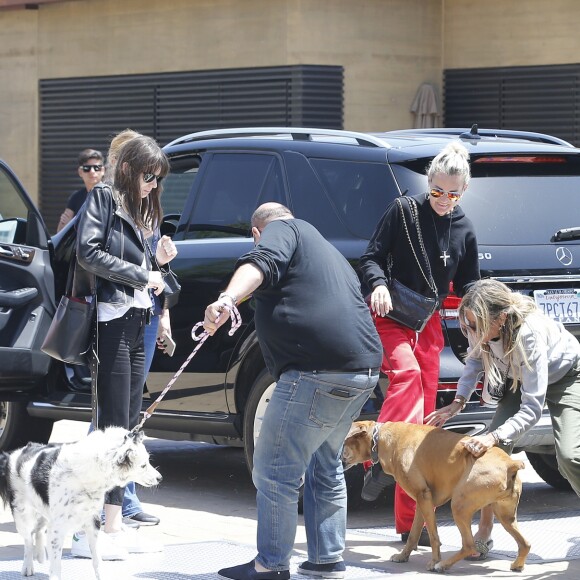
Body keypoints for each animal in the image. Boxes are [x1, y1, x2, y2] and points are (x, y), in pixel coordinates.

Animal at [0, 426, 161, 580]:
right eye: (143, 465)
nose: (160, 478)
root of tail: (12, 455)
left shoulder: (92, 521)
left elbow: (97, 558)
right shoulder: (58, 527)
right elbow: (56, 563)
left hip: (44, 509)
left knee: (38, 530)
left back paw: (40, 555)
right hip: (23, 515)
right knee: (28, 540)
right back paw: (28, 566)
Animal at [344, 420, 532, 572]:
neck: (379, 438)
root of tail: (510, 463)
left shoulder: (424, 498)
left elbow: (434, 537)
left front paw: (434, 560)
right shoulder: (422, 502)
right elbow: (413, 534)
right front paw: (403, 556)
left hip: (459, 506)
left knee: (469, 545)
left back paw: (443, 565)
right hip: (505, 515)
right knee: (525, 544)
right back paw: (518, 565)